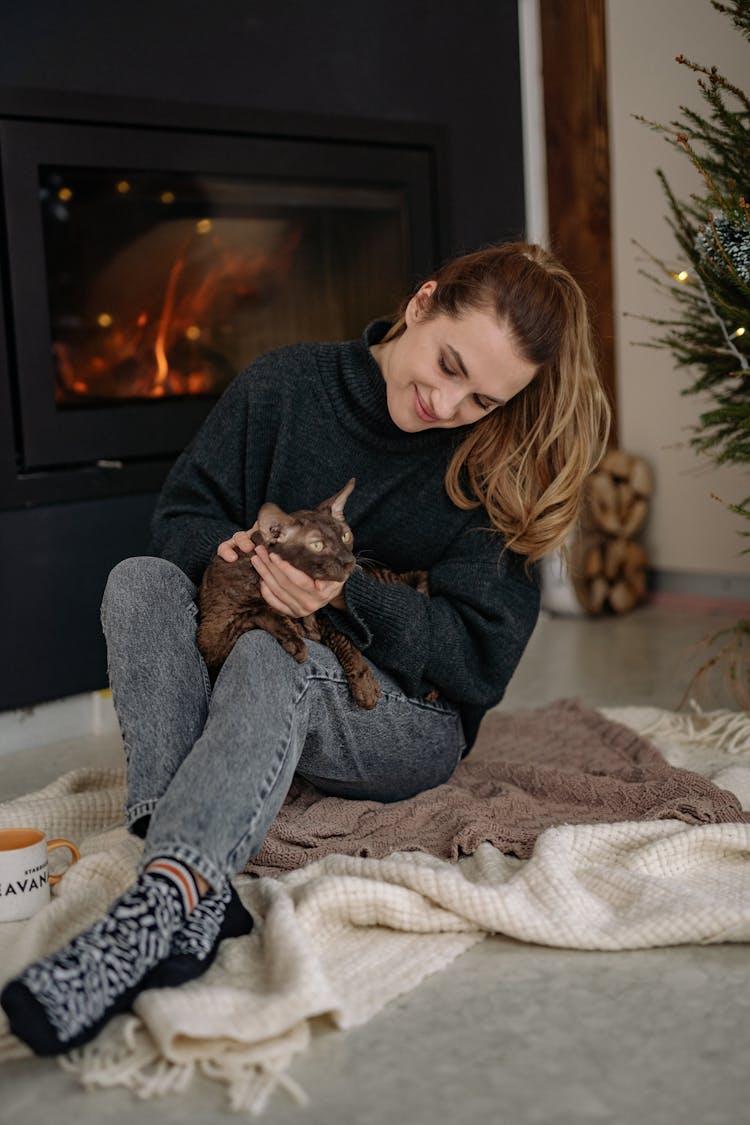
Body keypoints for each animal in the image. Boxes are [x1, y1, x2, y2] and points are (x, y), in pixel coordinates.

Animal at [195, 477, 427, 706]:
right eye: (317, 546)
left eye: (345, 536)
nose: (349, 561)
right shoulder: (213, 639)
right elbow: (259, 611)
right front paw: (295, 640)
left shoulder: (325, 617)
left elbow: (345, 641)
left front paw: (365, 685)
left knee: (402, 578)